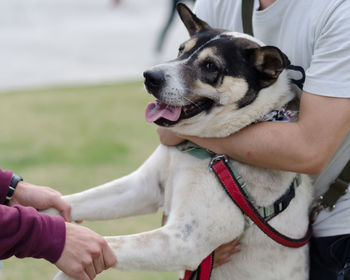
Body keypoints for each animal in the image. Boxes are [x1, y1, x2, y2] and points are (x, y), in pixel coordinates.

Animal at [50, 3, 314, 278]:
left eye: (210, 66)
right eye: (180, 50)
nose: (149, 76)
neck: (202, 148)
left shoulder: (182, 241)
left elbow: (108, 244)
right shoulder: (143, 187)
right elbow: (73, 201)